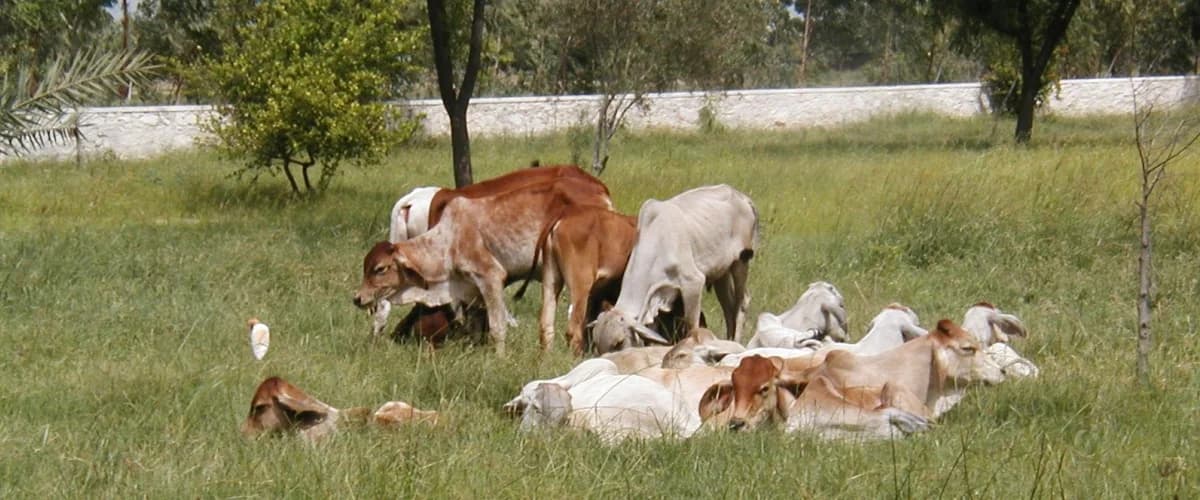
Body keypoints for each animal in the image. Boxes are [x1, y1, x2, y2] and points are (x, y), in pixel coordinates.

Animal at [354, 175, 612, 355]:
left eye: (380, 269)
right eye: (365, 266)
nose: (357, 298)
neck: (449, 239)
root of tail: (602, 195)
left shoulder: (490, 277)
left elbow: (497, 326)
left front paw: (500, 358)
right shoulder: (472, 291)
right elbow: (477, 327)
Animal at [590, 184, 759, 354]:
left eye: (619, 342)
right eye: (597, 344)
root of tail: (742, 197)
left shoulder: (693, 283)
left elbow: (692, 326)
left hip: (740, 262)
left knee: (742, 302)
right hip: (721, 273)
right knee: (728, 307)